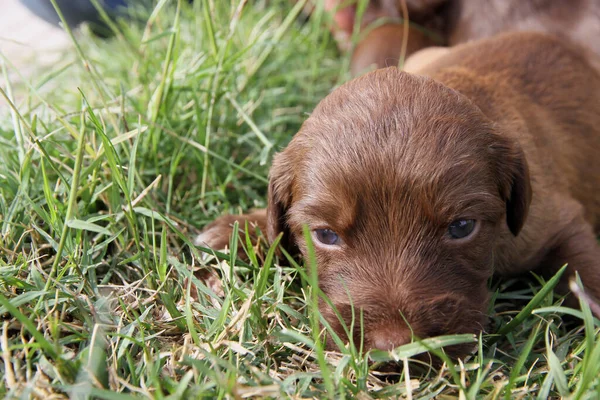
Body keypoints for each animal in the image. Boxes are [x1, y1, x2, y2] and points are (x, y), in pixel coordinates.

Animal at [199, 32, 600, 354]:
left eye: (462, 227)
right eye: (325, 235)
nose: (393, 346)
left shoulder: (552, 220)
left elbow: (582, 267)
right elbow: (274, 228)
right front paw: (241, 229)